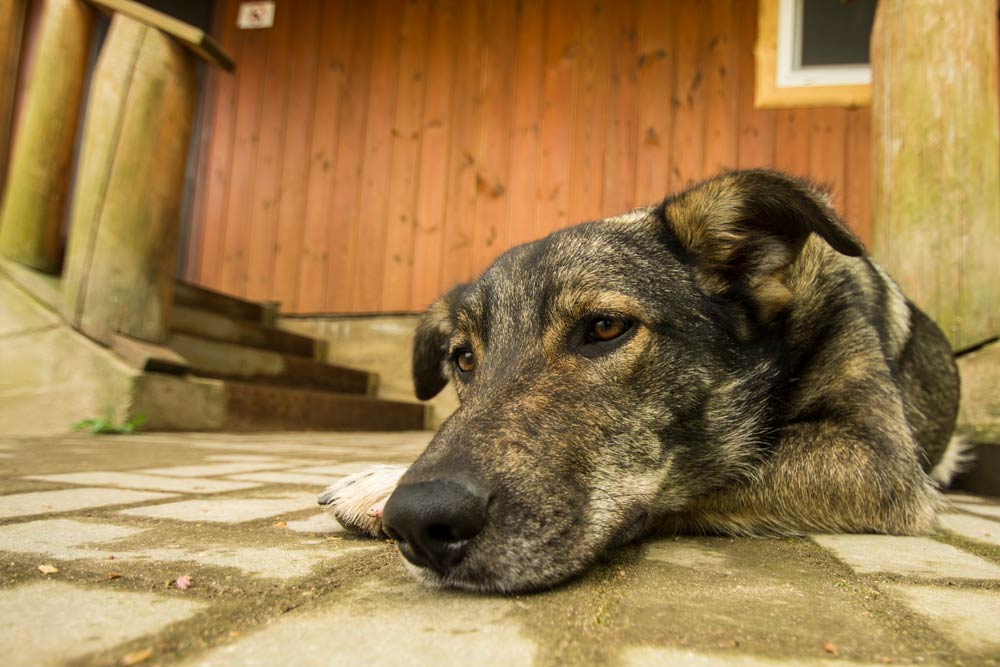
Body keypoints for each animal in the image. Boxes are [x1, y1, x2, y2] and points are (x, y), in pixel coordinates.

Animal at [316, 168, 964, 596]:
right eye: (464, 359)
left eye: (605, 327)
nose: (416, 520)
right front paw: (382, 480)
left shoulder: (874, 457)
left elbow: (717, 466)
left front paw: (381, 484)